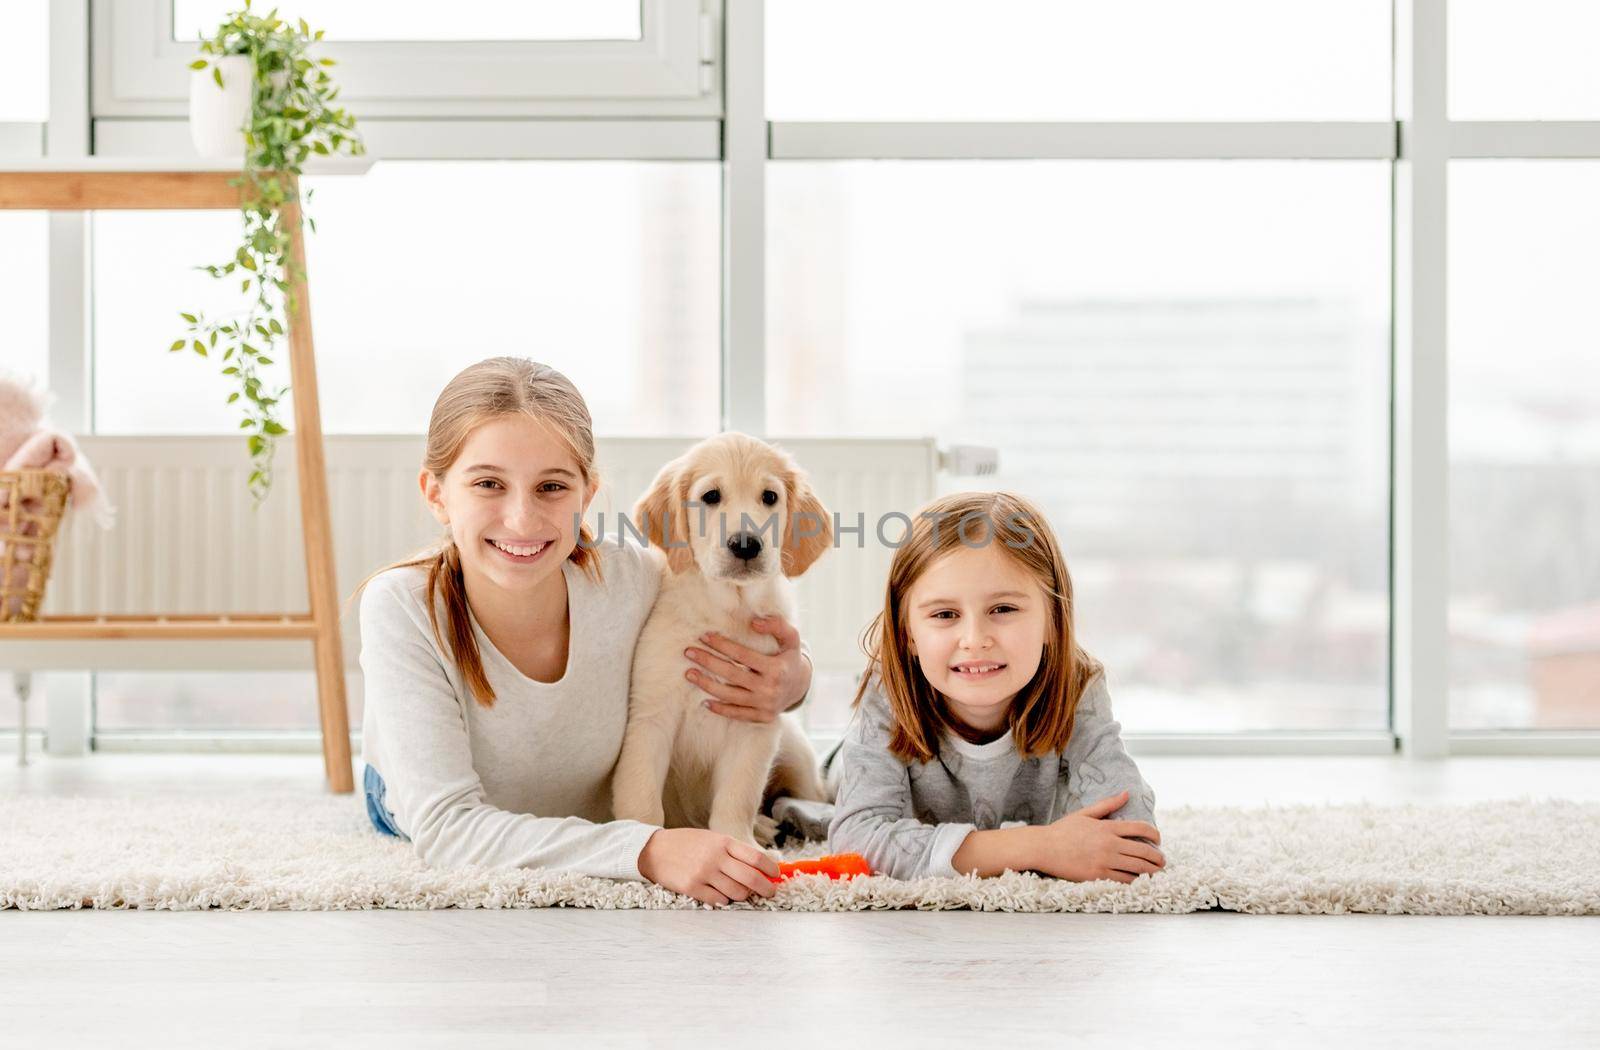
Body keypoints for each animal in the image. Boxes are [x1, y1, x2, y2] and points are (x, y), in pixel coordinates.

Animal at [614, 432, 838, 851]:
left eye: (770, 497)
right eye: (711, 496)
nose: (746, 544)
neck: (726, 612)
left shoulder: (756, 723)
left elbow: (739, 794)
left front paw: (738, 841)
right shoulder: (651, 714)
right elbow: (641, 795)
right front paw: (642, 837)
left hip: (795, 750)